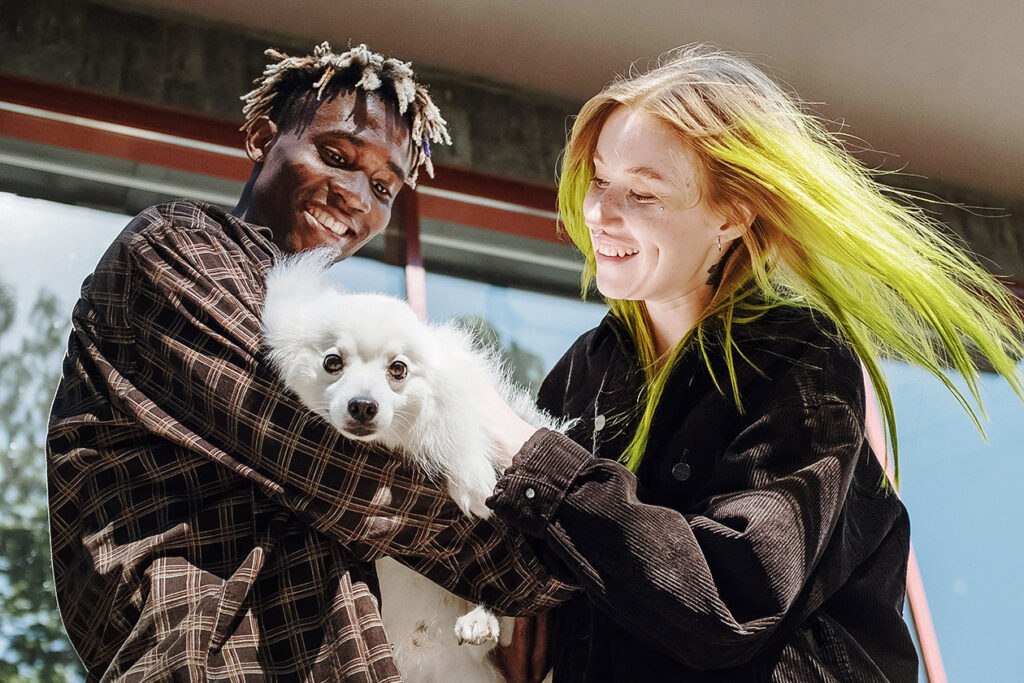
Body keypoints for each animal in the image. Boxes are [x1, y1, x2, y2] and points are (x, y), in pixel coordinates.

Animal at [260, 252, 557, 683]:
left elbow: (455, 420)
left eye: (397, 369)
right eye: (332, 362)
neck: (390, 441)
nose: (363, 405)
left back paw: (481, 621)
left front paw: (471, 476)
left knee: (503, 627)